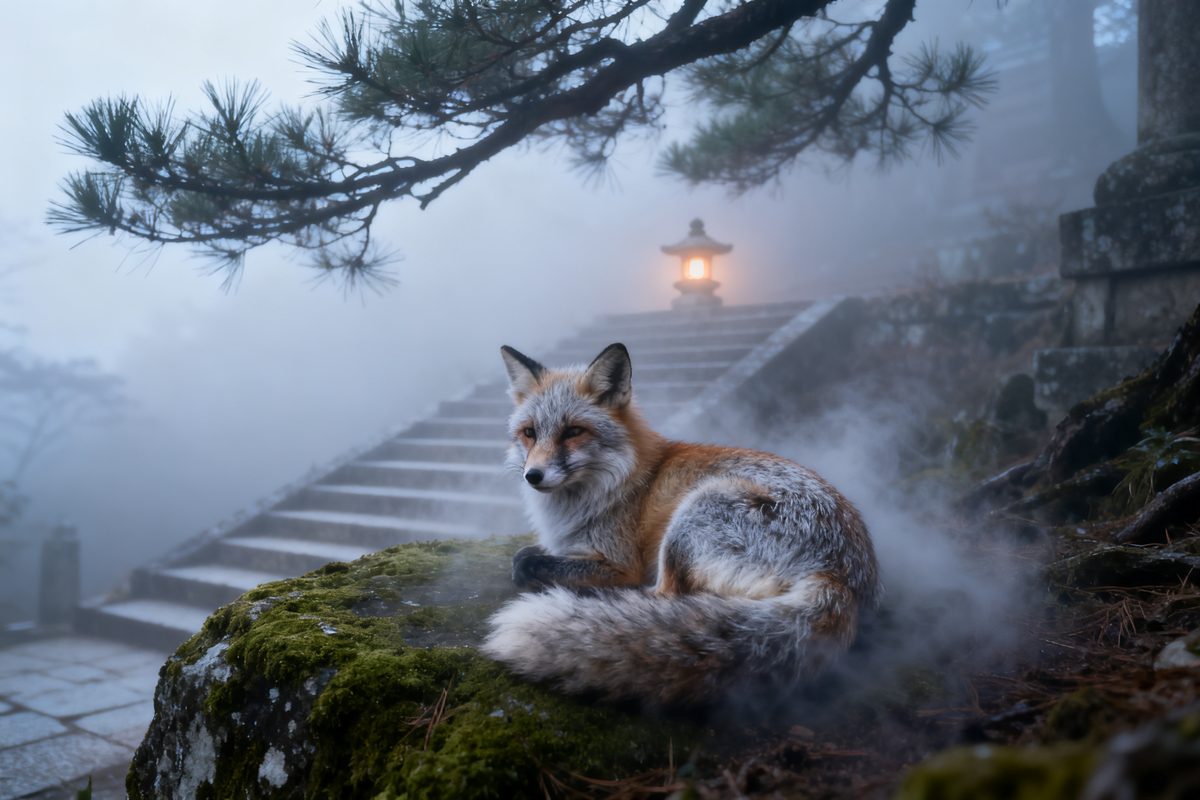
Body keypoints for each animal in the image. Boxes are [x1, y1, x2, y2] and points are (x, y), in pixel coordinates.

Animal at [481, 342, 881, 707]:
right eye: (530, 433)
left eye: (573, 432)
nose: (533, 476)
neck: (618, 482)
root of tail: (839, 578)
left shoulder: (618, 562)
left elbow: (525, 560)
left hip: (690, 519)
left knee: (665, 598)